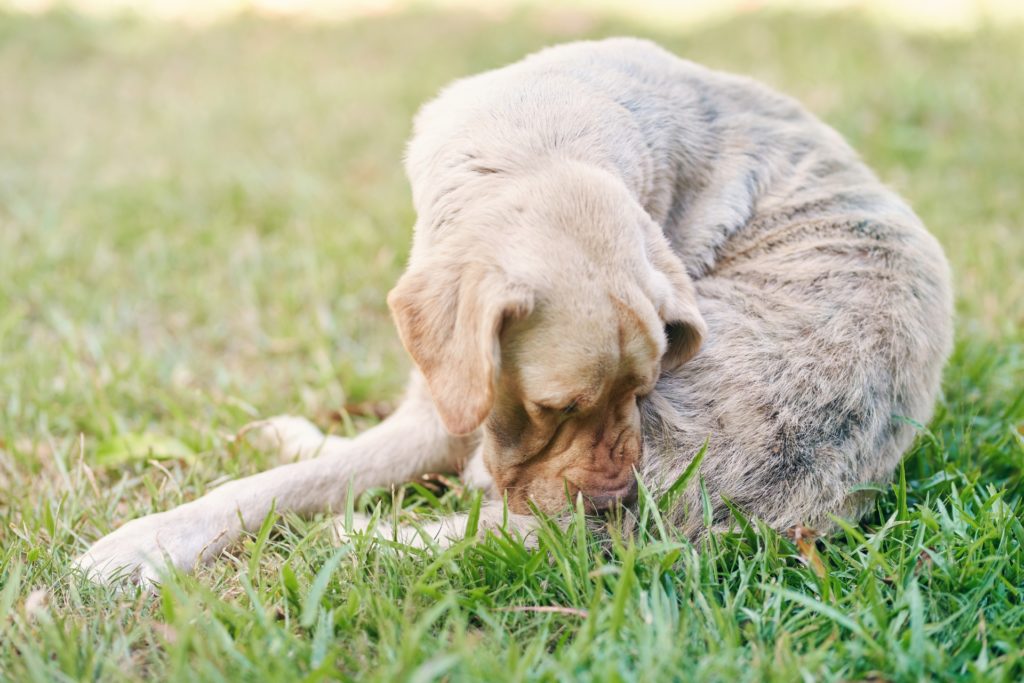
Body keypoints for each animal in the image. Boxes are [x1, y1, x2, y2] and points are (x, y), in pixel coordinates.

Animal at [77, 36, 950, 581]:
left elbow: (296, 485)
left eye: (645, 389)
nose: (610, 496)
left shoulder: (453, 414)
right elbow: (293, 476)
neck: (539, 143)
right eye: (554, 405)